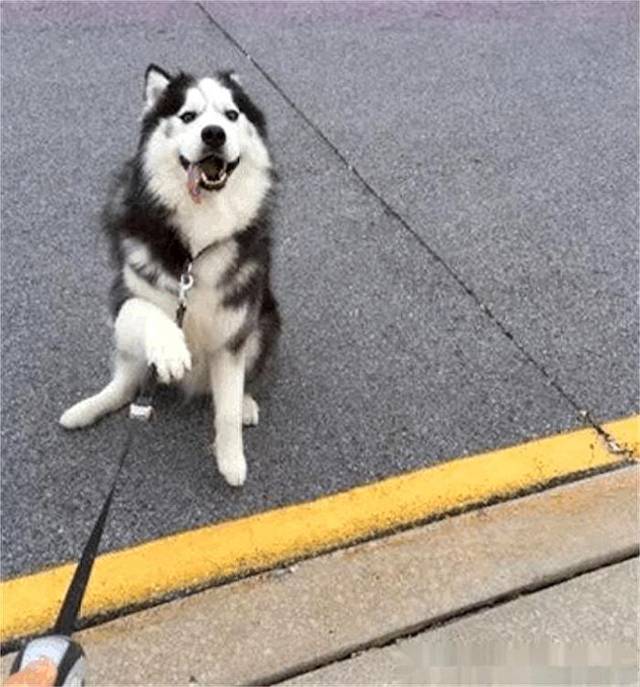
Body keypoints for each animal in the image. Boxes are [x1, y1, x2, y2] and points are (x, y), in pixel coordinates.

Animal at [60, 61, 280, 486]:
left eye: (231, 115)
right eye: (188, 116)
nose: (214, 134)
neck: (196, 242)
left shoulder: (235, 326)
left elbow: (227, 409)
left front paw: (231, 460)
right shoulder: (122, 298)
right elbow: (146, 311)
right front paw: (172, 348)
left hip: (265, 323)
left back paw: (247, 403)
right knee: (125, 385)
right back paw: (87, 409)